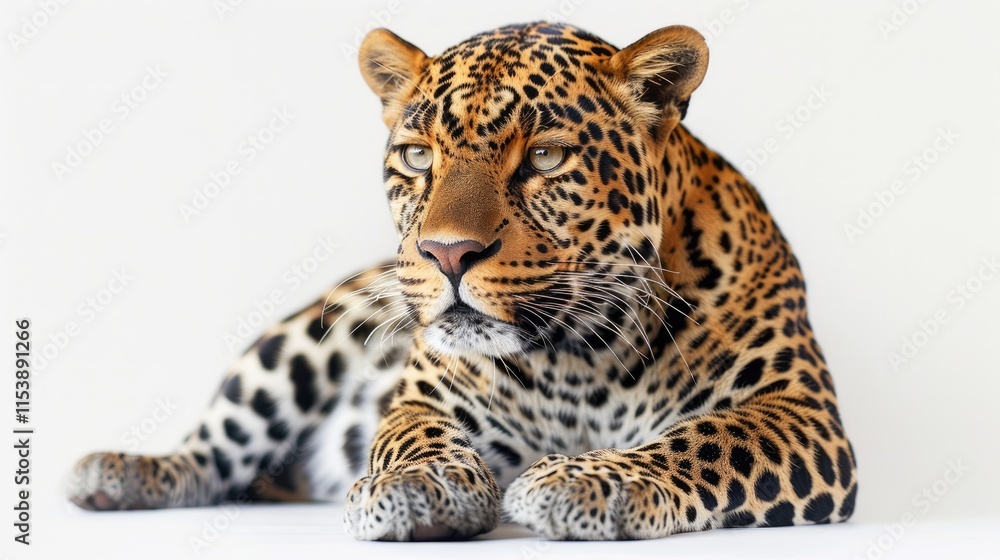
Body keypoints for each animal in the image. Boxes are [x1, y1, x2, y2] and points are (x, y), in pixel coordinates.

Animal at [67, 22, 858, 541]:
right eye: (419, 157)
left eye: (544, 157)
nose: (447, 254)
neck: (583, 355)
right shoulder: (426, 396)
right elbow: (410, 435)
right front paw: (420, 485)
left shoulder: (798, 412)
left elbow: (702, 439)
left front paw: (589, 481)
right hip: (309, 334)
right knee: (215, 451)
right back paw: (120, 472)